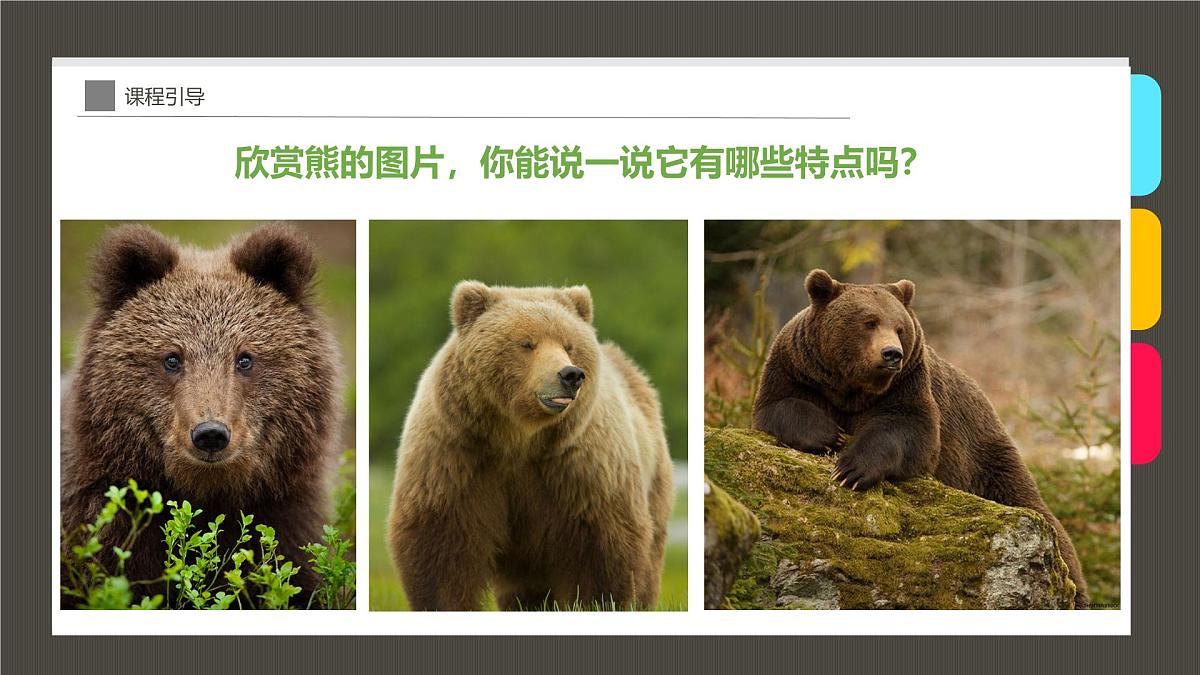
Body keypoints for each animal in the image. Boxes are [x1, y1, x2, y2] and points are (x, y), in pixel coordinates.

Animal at [387, 281, 674, 611]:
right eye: (526, 343)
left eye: (569, 345)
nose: (570, 375)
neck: (519, 440)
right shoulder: (457, 457)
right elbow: (441, 546)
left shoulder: (582, 467)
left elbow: (603, 547)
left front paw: (598, 602)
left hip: (653, 479)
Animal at [752, 269, 1089, 608]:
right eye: (869, 322)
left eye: (899, 328)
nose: (892, 354)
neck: (853, 389)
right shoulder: (797, 368)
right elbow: (778, 405)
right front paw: (828, 435)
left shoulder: (908, 385)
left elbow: (909, 431)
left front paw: (852, 469)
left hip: (985, 457)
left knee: (1039, 514)